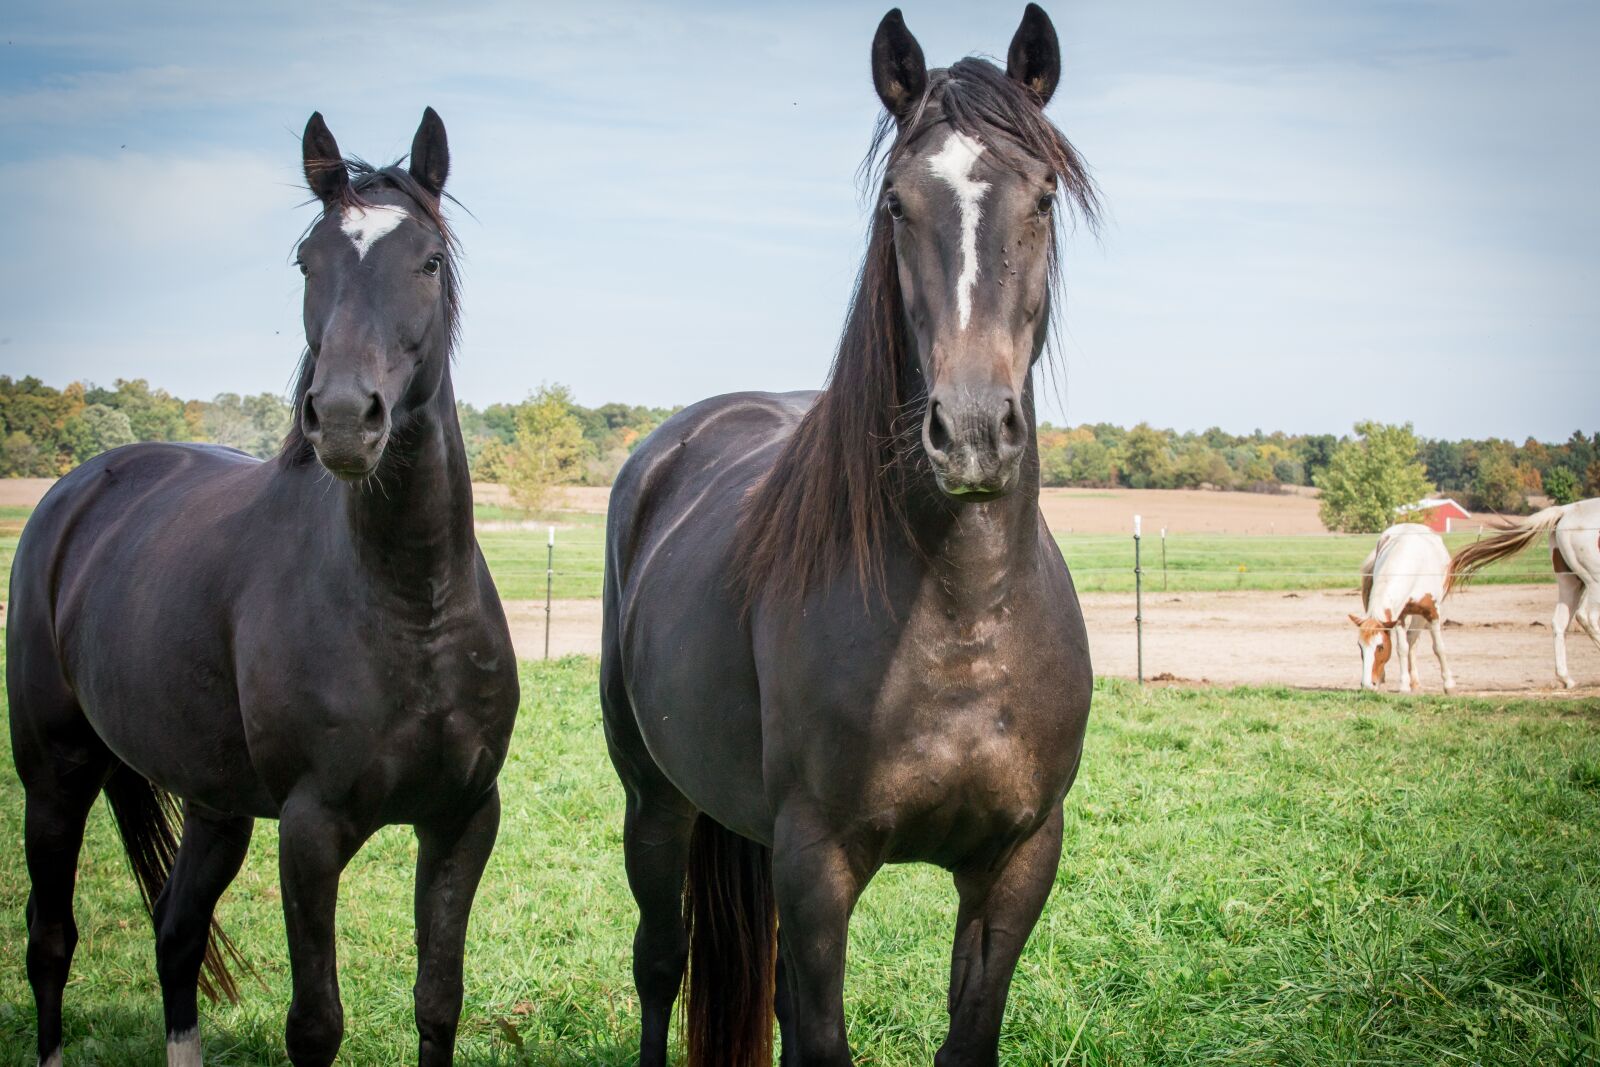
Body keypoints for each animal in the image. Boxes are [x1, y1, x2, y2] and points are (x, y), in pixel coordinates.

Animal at [5, 110, 518, 1067]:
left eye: (428, 261)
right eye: (307, 261)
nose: (346, 418)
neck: (410, 606)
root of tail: (78, 488)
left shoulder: (463, 819)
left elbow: (439, 1001)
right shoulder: (311, 833)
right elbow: (315, 1023)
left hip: (215, 805)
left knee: (176, 932)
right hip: (54, 774)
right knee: (50, 940)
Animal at [600, 7, 1097, 1065]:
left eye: (1042, 196)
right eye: (897, 204)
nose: (973, 429)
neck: (962, 611)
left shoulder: (1018, 862)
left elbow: (963, 1034)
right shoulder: (817, 865)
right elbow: (818, 1033)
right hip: (653, 800)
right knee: (660, 962)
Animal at [1348, 523, 1457, 694]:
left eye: (1380, 647)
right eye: (1360, 646)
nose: (1367, 685)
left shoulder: (1432, 613)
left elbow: (1439, 648)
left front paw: (1449, 685)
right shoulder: (1398, 616)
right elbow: (1402, 648)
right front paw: (1404, 685)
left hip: (1421, 615)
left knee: (1413, 639)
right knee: (1410, 641)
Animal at [1447, 497, 1600, 689]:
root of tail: (1566, 510)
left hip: (1571, 582)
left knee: (1560, 621)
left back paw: (1567, 679)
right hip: (1594, 581)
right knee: (1587, 617)